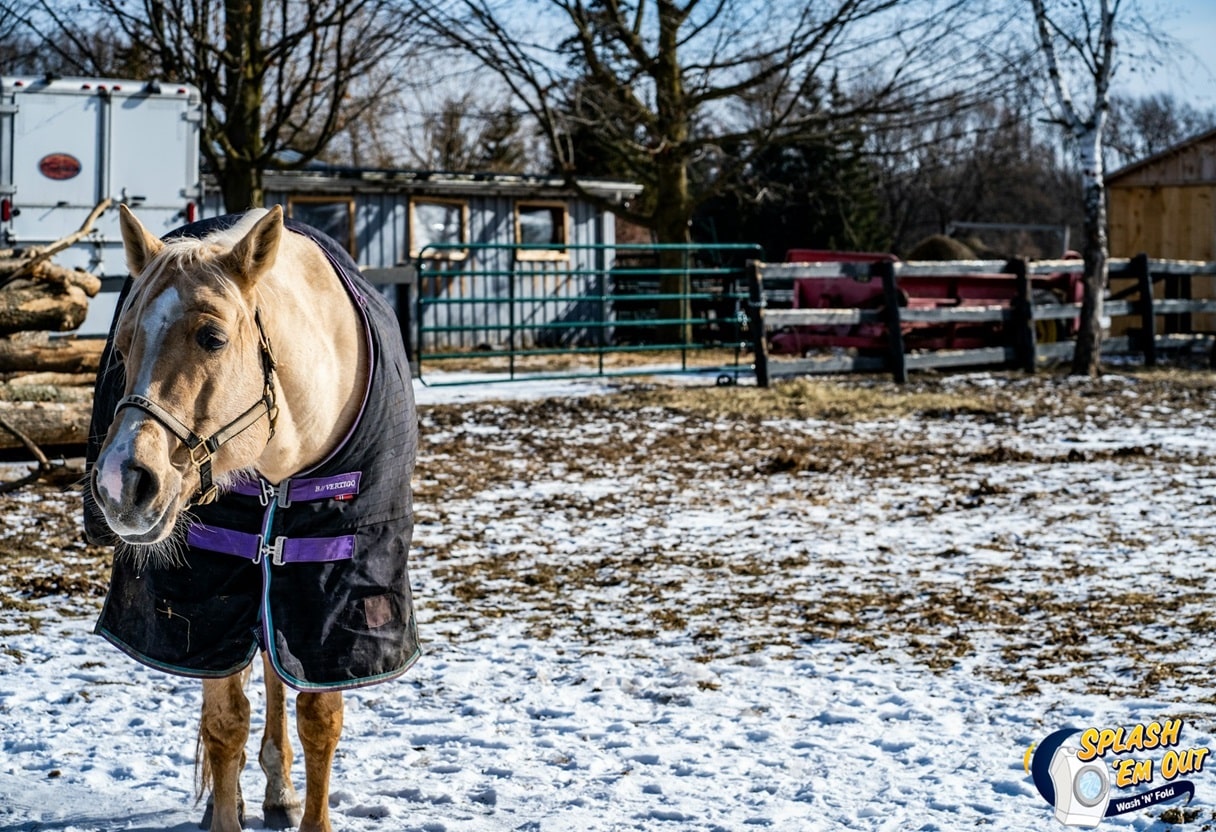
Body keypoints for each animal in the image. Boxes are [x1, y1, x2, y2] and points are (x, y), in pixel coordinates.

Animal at [84, 206, 418, 832]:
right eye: (123, 344)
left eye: (212, 337)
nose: (121, 481)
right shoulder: (212, 577)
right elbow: (224, 722)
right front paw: (224, 807)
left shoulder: (331, 587)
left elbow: (317, 716)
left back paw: (278, 790)